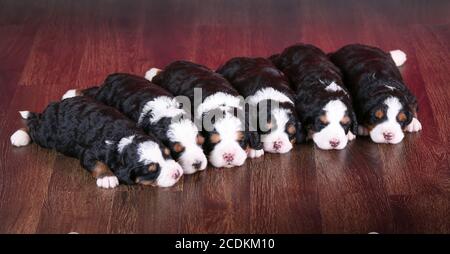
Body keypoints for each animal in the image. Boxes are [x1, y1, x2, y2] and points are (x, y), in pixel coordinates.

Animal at [8, 96, 182, 188]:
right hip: (46, 135)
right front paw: (107, 178)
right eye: (151, 170)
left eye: (168, 154)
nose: (177, 173)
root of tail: (55, 104)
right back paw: (20, 135)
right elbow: (97, 164)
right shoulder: (89, 152)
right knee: (33, 125)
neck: (125, 138)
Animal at [61, 72, 207, 174]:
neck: (165, 111)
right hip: (101, 97)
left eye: (200, 142)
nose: (198, 164)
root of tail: (111, 77)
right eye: (177, 150)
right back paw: (70, 93)